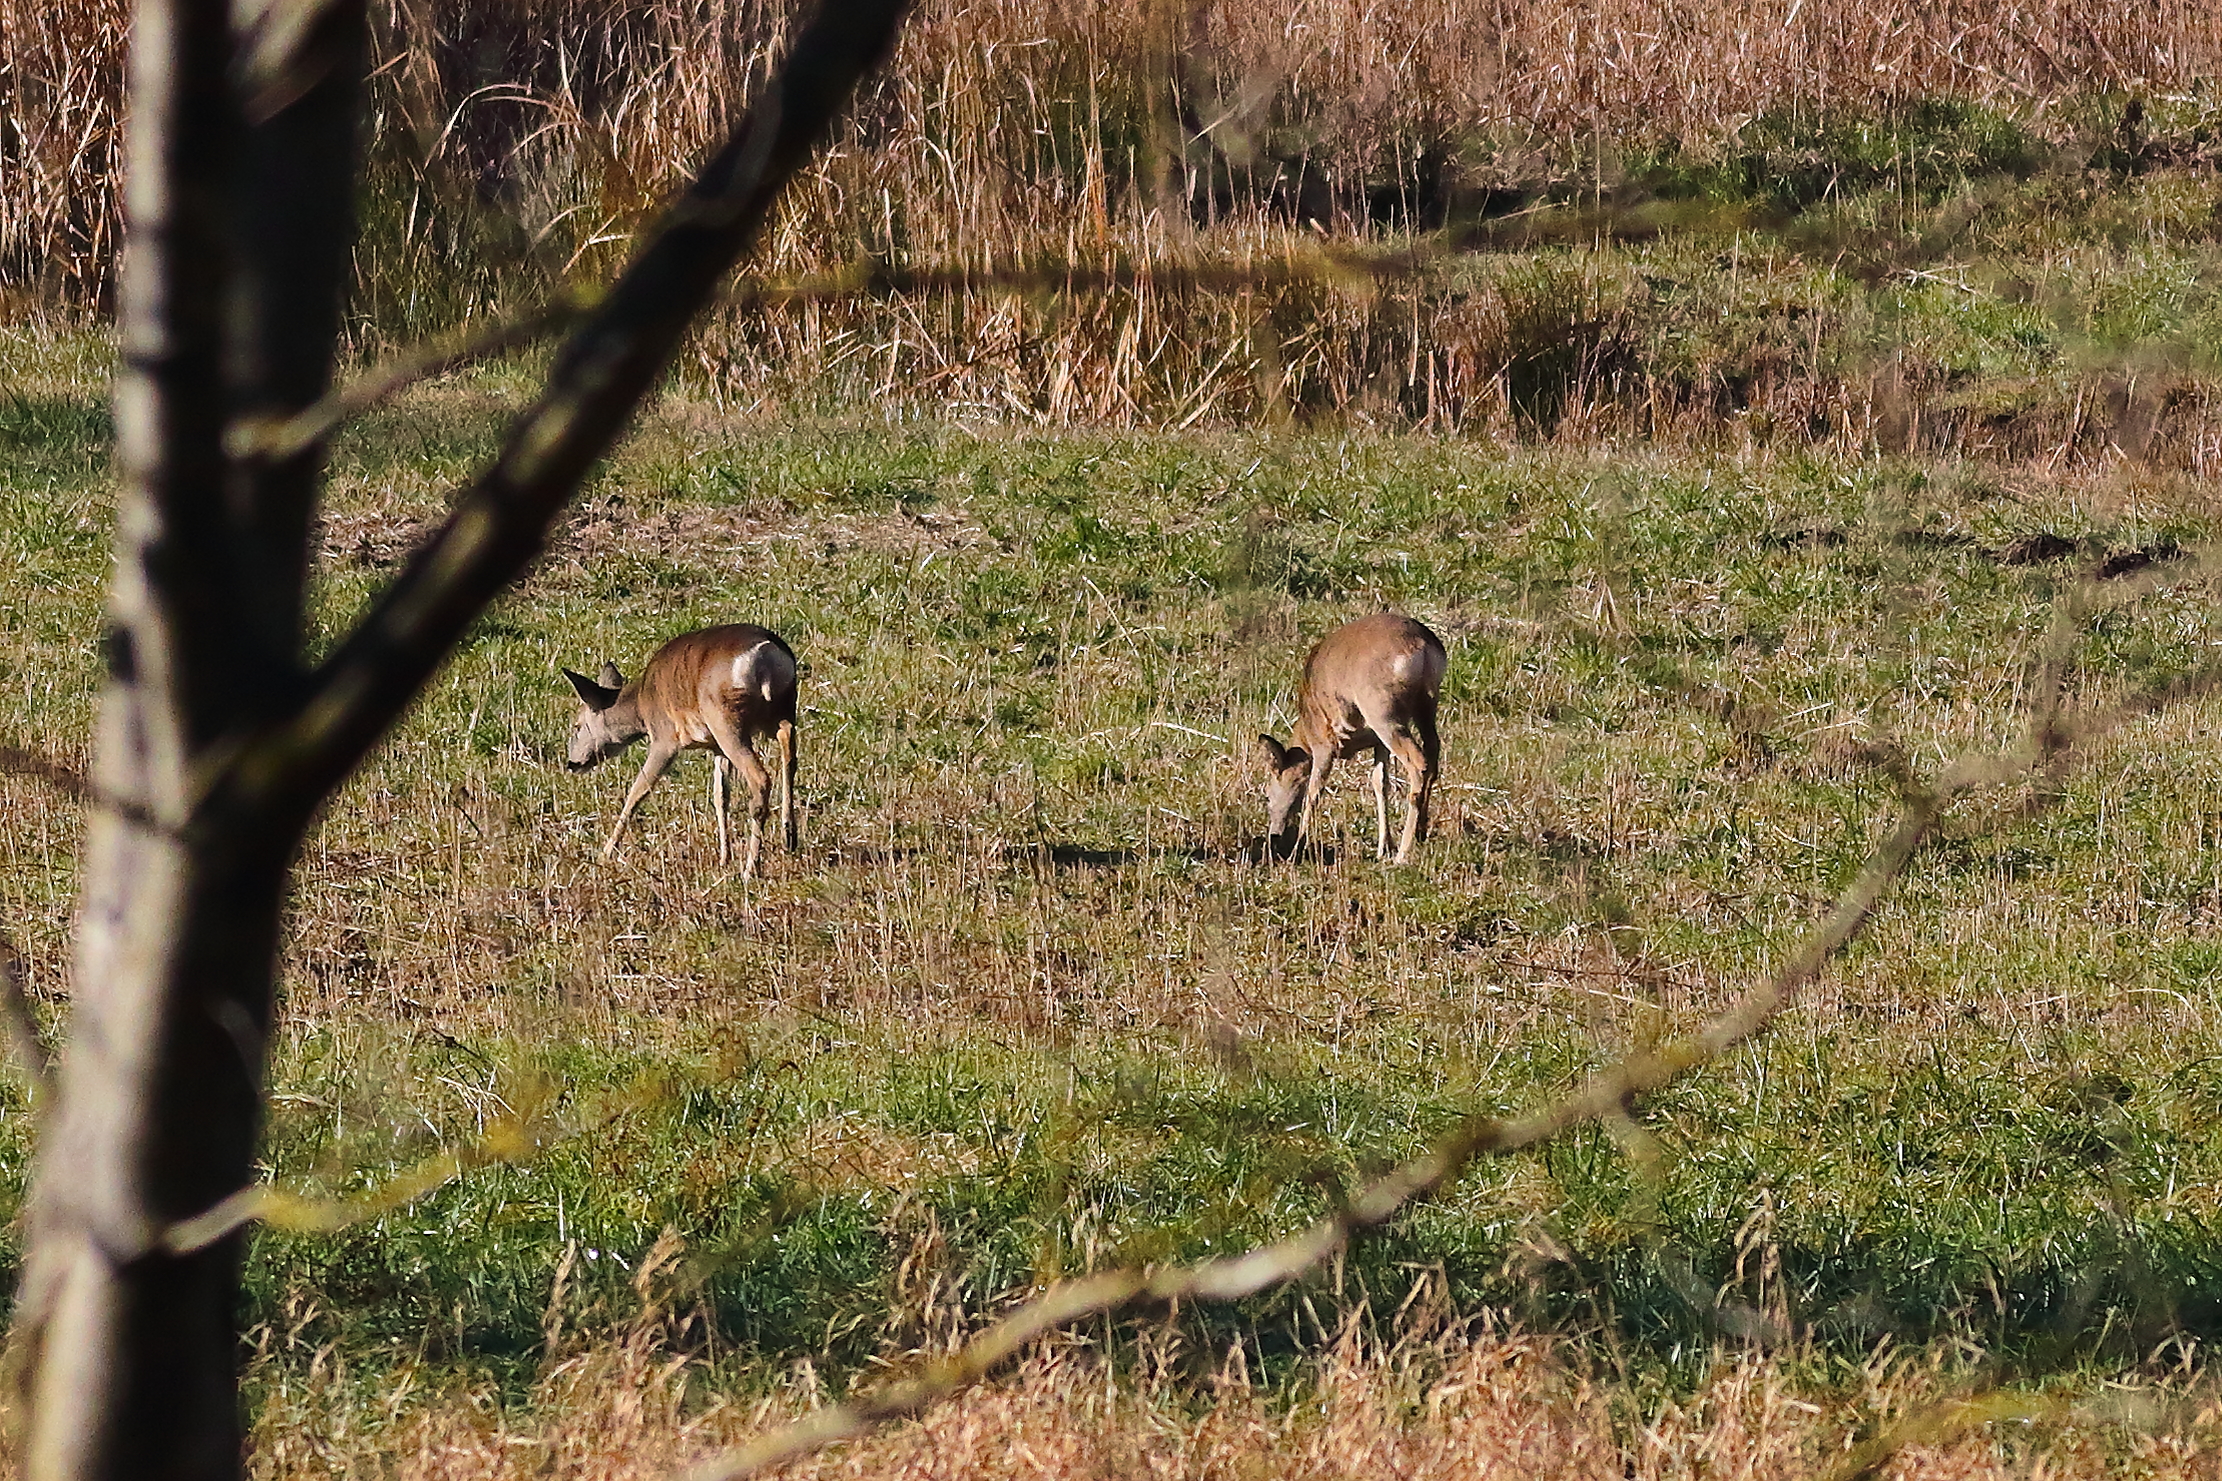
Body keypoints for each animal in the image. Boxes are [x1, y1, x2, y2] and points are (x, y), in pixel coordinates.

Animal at [562, 624, 799, 878]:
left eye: (576, 726)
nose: (571, 764)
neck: (641, 707)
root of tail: (765, 656)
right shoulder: (715, 747)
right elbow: (720, 796)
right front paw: (724, 857)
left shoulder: (664, 739)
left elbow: (637, 791)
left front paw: (605, 853)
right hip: (782, 706)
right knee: (788, 749)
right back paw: (788, 837)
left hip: (725, 717)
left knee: (761, 777)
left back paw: (750, 869)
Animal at [1257, 613, 1445, 865]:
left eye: (1267, 795)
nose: (1274, 834)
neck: (1306, 727)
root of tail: (1422, 645)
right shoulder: (1377, 742)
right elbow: (1379, 782)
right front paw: (1383, 846)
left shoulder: (1323, 742)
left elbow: (1313, 791)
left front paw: (1298, 848)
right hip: (1426, 704)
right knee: (1433, 754)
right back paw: (1421, 833)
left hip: (1382, 711)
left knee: (1418, 762)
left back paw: (1404, 852)